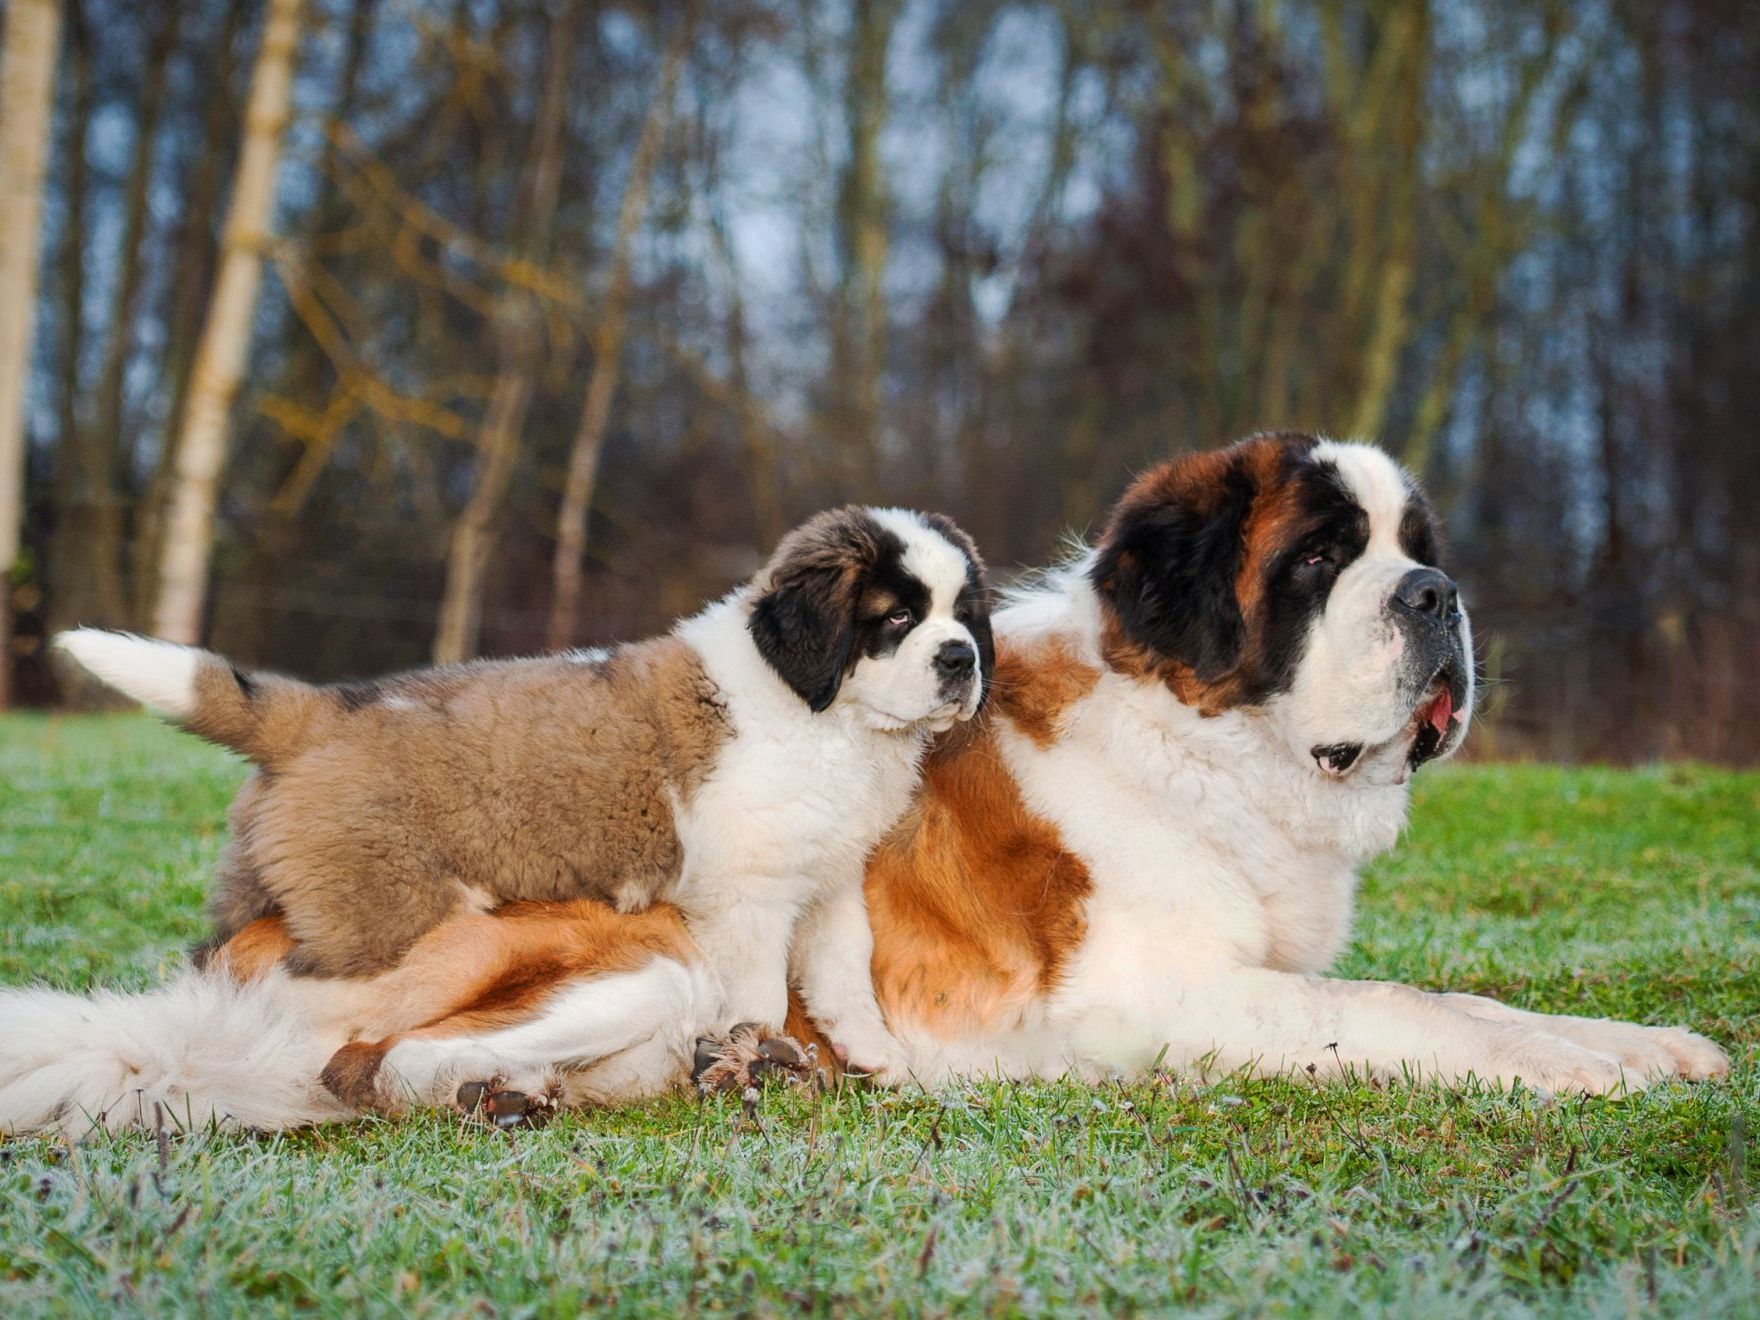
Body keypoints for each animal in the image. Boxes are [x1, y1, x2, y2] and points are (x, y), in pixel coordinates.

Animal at [0, 436, 1724, 1140]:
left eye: (1418, 546)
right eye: (1320, 562)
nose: (1438, 597)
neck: (1194, 734)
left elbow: (1467, 999)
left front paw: (1653, 1049)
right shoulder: (1151, 997)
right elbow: (1396, 1016)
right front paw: (1588, 1070)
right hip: (629, 951)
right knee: (381, 1068)